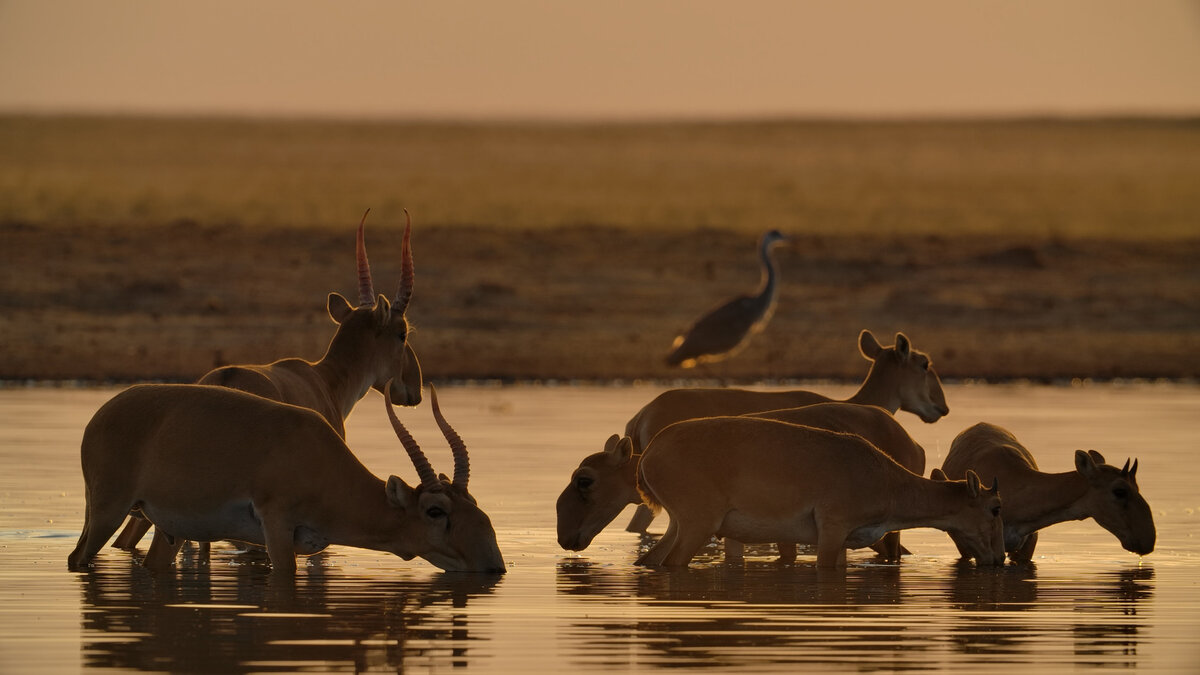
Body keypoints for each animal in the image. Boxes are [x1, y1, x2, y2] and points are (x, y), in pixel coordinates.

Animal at [70, 381, 504, 569]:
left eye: (473, 504)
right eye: (435, 510)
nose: (494, 565)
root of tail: (100, 415)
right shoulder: (276, 526)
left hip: (166, 530)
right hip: (108, 511)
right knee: (78, 559)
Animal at [633, 415, 1008, 566]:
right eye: (996, 507)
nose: (999, 557)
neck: (888, 484)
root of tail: (650, 451)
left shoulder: (844, 540)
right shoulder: (832, 529)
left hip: (677, 524)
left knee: (651, 560)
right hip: (698, 525)